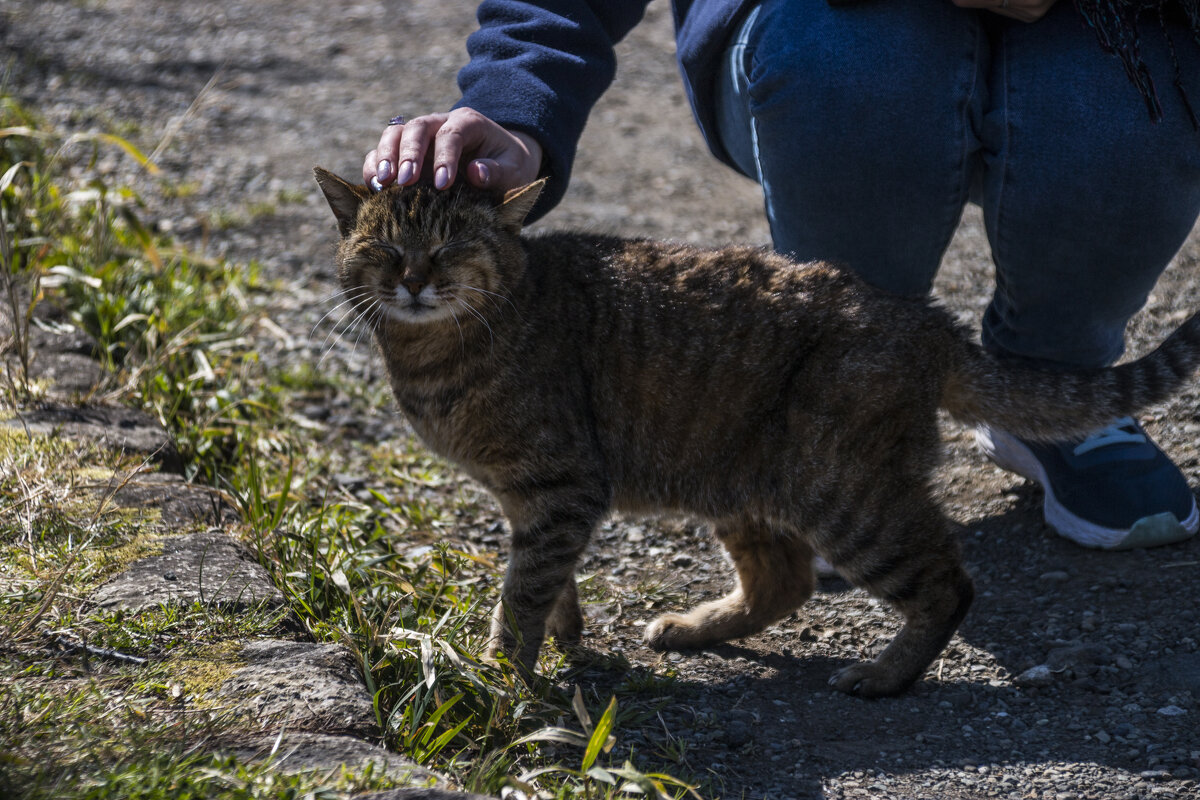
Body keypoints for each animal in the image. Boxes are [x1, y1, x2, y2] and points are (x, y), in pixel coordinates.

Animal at [312, 167, 1200, 695]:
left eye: (452, 244)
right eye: (384, 247)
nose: (414, 279)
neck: (434, 355)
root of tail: (927, 319)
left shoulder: (561, 488)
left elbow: (523, 590)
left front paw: (499, 673)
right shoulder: (531, 500)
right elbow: (546, 582)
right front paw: (564, 639)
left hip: (843, 494)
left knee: (947, 583)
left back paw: (884, 675)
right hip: (742, 482)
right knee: (785, 581)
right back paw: (698, 628)